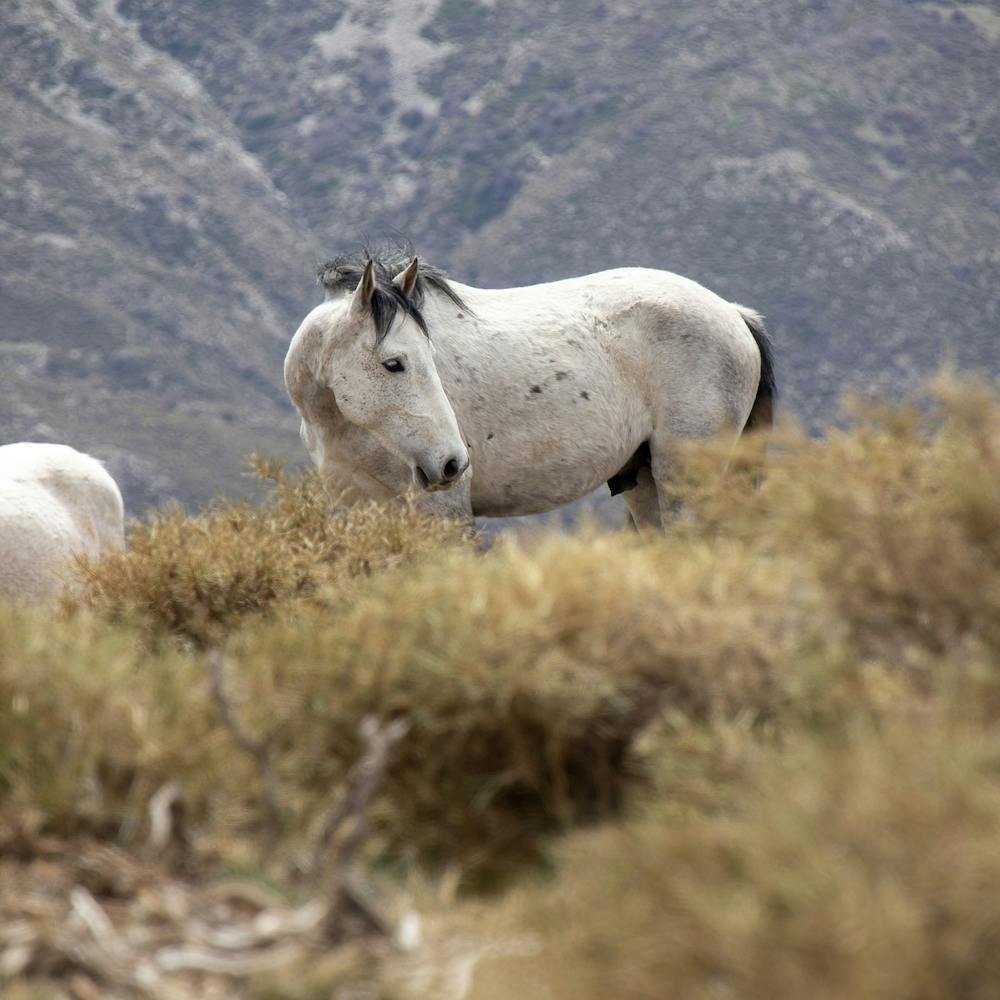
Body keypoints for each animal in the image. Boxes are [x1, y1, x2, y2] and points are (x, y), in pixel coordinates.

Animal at [284, 246, 776, 529]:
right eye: (394, 364)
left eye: (429, 355)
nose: (451, 463)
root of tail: (735, 314)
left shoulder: (446, 514)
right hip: (645, 482)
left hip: (684, 477)